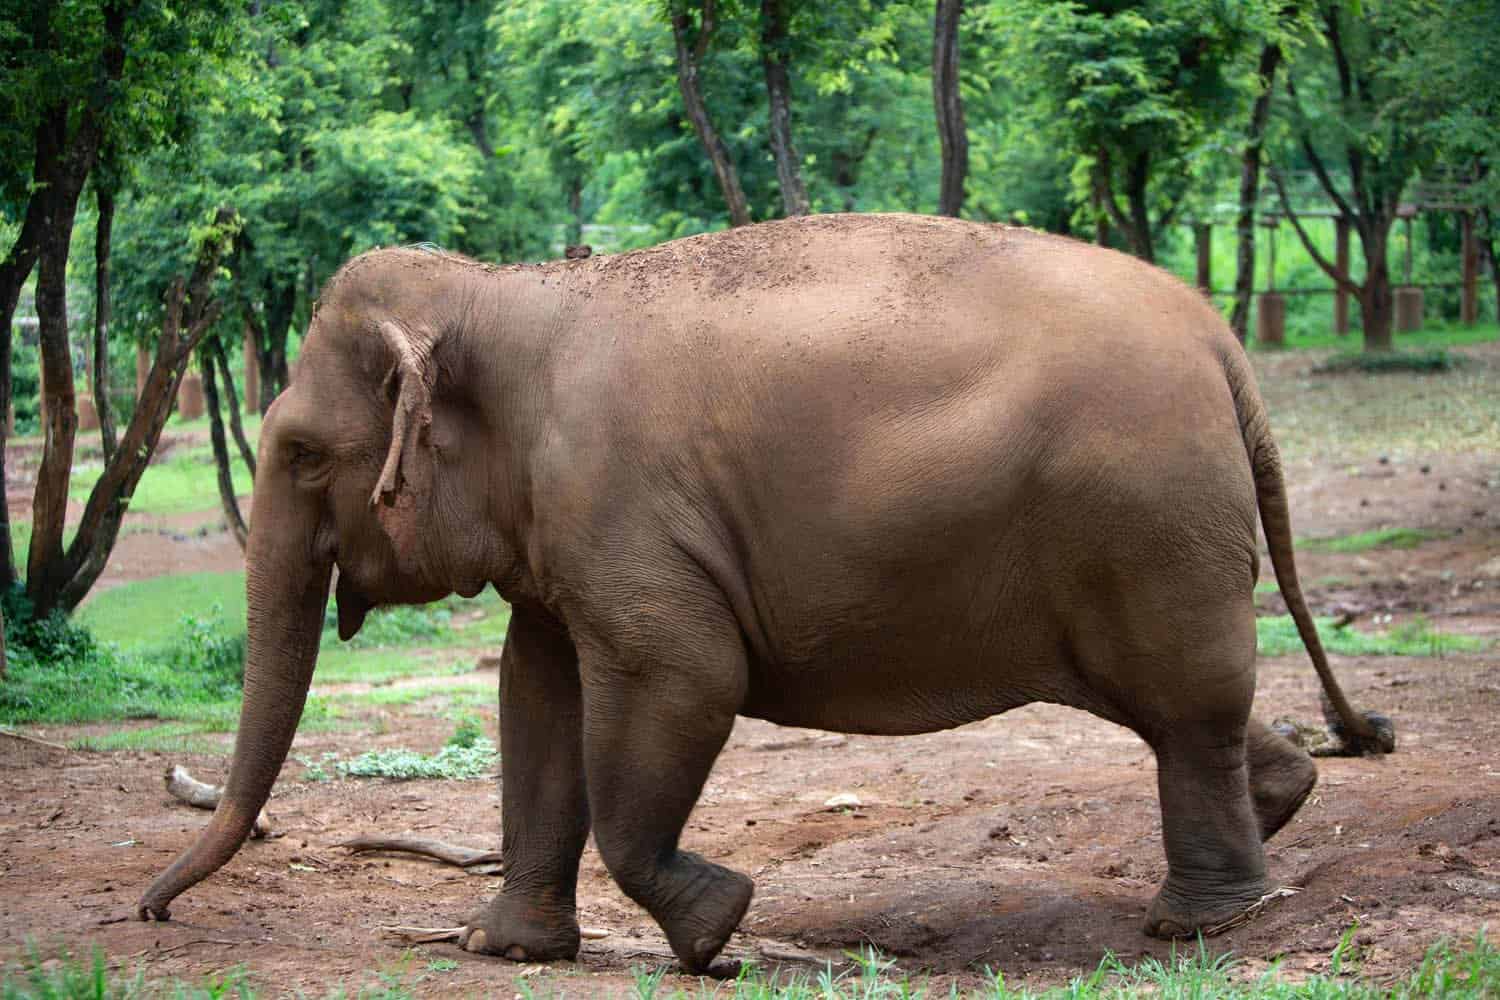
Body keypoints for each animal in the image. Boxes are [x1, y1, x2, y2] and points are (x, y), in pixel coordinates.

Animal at [137, 213, 1393, 972]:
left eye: (304, 457)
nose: (150, 909)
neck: (505, 296)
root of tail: (1222, 344)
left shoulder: (617, 506)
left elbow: (682, 677)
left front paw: (717, 928)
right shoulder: (560, 535)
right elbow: (535, 694)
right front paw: (506, 948)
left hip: (1143, 519)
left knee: (1182, 702)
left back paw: (1194, 921)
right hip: (1139, 537)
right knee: (1180, 704)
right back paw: (1279, 799)